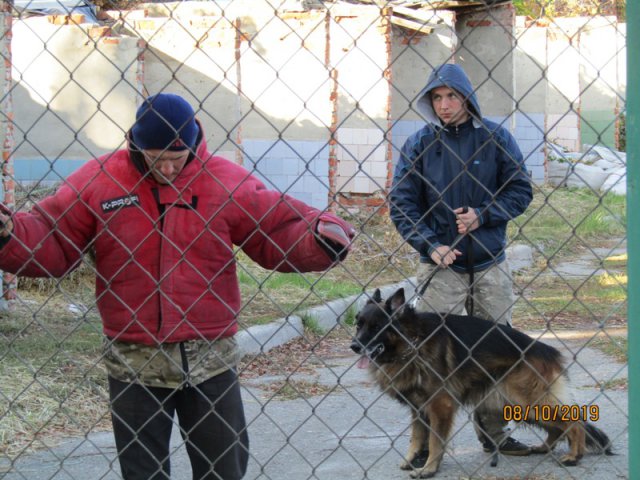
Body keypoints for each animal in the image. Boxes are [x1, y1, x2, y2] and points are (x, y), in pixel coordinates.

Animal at [350, 286, 616, 478]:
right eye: (358, 324)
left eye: (376, 327)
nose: (353, 346)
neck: (412, 341)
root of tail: (547, 350)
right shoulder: (418, 408)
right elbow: (417, 437)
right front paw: (411, 460)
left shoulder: (440, 406)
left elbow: (435, 441)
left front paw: (429, 469)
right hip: (520, 404)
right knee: (558, 427)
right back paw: (544, 447)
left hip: (529, 401)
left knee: (574, 421)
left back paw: (574, 456)